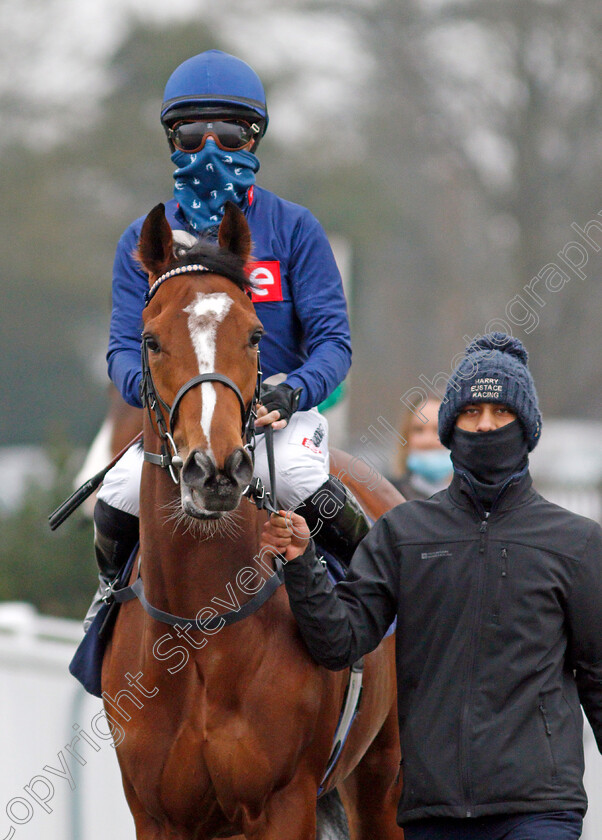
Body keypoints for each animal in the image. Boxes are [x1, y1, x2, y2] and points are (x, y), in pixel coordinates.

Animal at [102, 203, 404, 840]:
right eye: (151, 339)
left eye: (255, 334)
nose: (215, 468)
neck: (201, 629)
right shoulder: (156, 813)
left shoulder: (284, 803)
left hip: (384, 778)